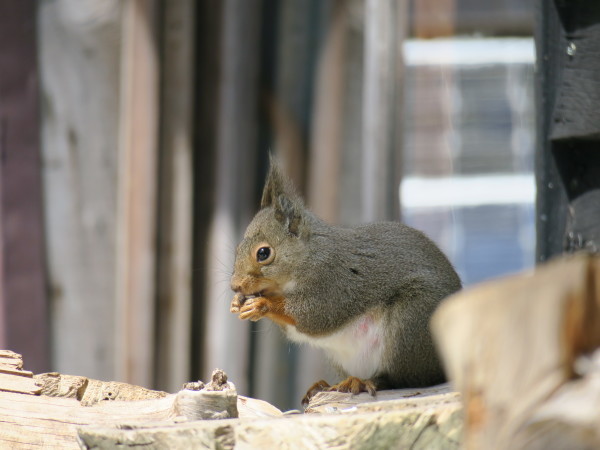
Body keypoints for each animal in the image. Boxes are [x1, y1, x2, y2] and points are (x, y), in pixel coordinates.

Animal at [229, 159, 460, 404]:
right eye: (237, 248)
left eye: (263, 253)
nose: (235, 286)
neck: (309, 256)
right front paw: (238, 303)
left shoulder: (335, 282)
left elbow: (313, 316)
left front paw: (262, 304)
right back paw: (325, 385)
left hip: (410, 324)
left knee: (405, 379)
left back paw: (363, 382)